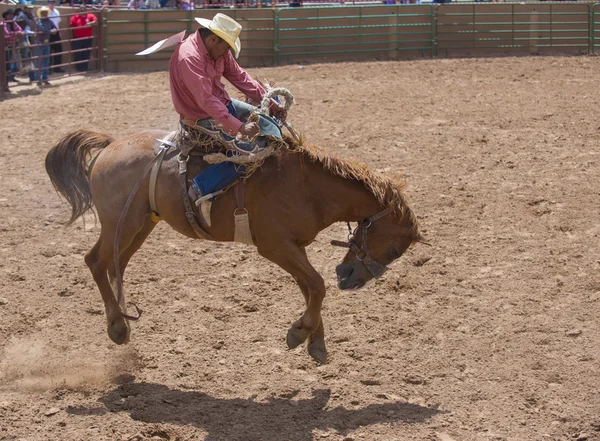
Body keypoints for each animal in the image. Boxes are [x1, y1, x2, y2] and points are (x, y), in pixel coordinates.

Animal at [45, 129, 422, 362]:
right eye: (393, 249)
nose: (350, 278)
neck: (308, 188)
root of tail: (111, 145)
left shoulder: (294, 247)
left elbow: (311, 288)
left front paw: (314, 341)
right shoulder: (274, 246)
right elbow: (316, 285)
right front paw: (299, 333)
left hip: (140, 225)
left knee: (116, 265)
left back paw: (122, 319)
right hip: (119, 225)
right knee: (96, 261)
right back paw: (117, 327)